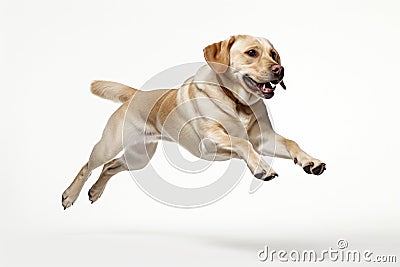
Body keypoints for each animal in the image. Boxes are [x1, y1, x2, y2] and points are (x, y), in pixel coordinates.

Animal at [61, 34, 324, 209]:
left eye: (274, 54)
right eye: (252, 53)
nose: (280, 69)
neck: (238, 101)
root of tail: (137, 94)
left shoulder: (265, 139)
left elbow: (291, 143)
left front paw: (310, 161)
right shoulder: (211, 140)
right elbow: (242, 143)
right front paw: (262, 167)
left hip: (139, 156)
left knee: (109, 167)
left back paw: (95, 191)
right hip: (109, 145)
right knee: (88, 166)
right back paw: (69, 195)